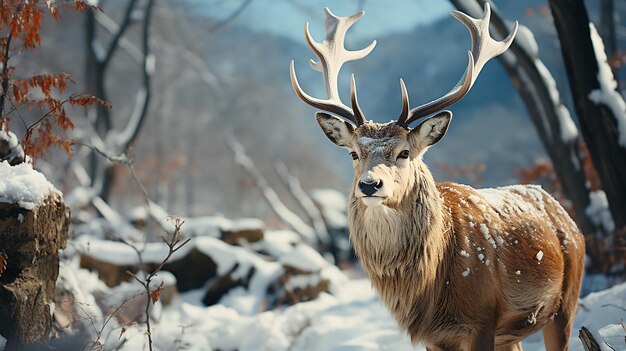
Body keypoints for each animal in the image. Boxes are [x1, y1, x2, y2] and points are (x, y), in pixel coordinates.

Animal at [290, 5, 584, 351]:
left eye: (404, 152)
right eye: (353, 154)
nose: (369, 184)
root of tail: (563, 213)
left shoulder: (482, 318)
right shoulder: (434, 335)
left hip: (566, 301)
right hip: (512, 333)